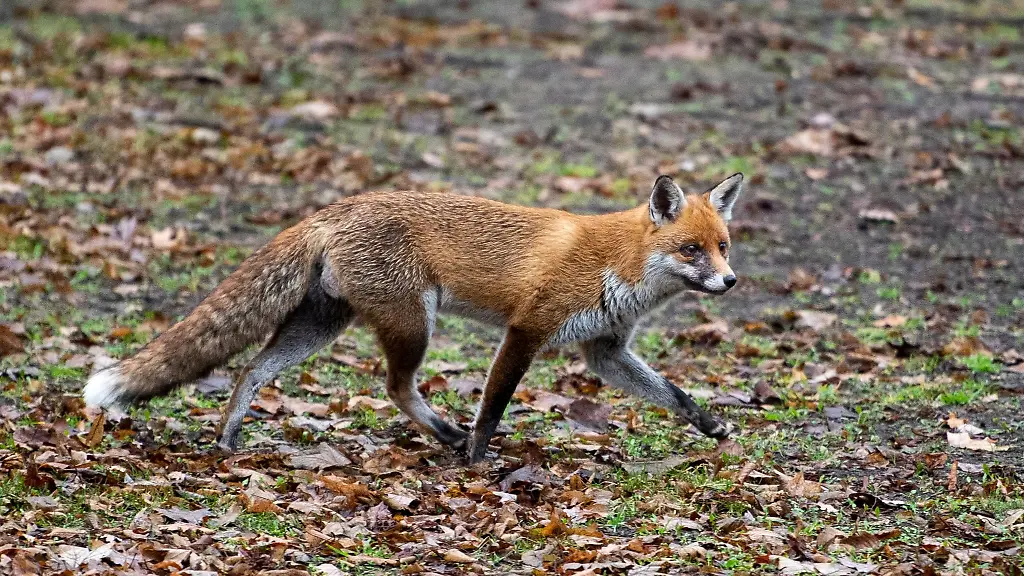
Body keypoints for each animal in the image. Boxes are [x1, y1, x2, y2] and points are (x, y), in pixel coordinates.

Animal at [83, 173, 743, 463]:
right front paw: (477, 458)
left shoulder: (604, 350)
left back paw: (227, 437)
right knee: (396, 387)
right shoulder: (527, 329)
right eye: (691, 250)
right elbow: (493, 405)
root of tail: (337, 208)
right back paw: (447, 437)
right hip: (412, 324)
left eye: (723, 246)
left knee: (250, 370)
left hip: (323, 325)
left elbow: (673, 394)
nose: (730, 282)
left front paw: (710, 424)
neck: (619, 265)